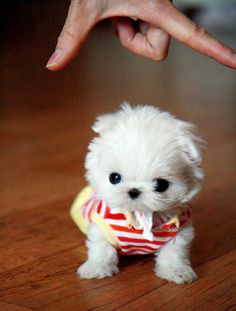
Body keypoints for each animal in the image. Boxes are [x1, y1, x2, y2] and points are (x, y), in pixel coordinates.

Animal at [75, 104, 203, 286]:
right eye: (114, 178)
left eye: (161, 184)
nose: (134, 190)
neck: (140, 215)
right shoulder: (101, 227)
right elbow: (102, 249)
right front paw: (96, 268)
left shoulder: (179, 233)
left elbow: (174, 254)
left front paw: (176, 272)